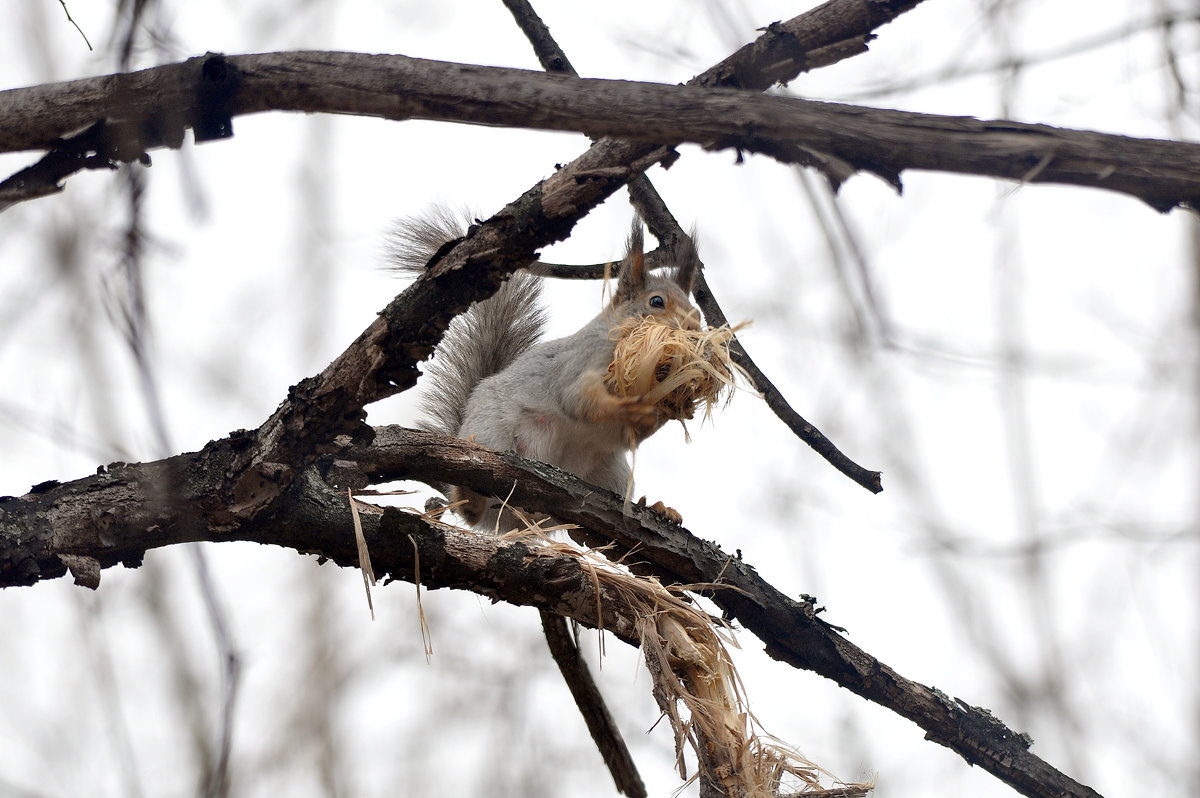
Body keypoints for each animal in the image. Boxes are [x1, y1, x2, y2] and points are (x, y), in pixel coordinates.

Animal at [393, 208, 700, 532]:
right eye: (656, 302)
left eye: (696, 311)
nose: (694, 330)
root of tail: (519, 520)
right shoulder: (579, 363)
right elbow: (580, 401)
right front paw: (632, 407)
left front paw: (675, 406)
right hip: (491, 436)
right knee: (471, 508)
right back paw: (469, 497)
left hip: (611, 471)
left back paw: (657, 508)